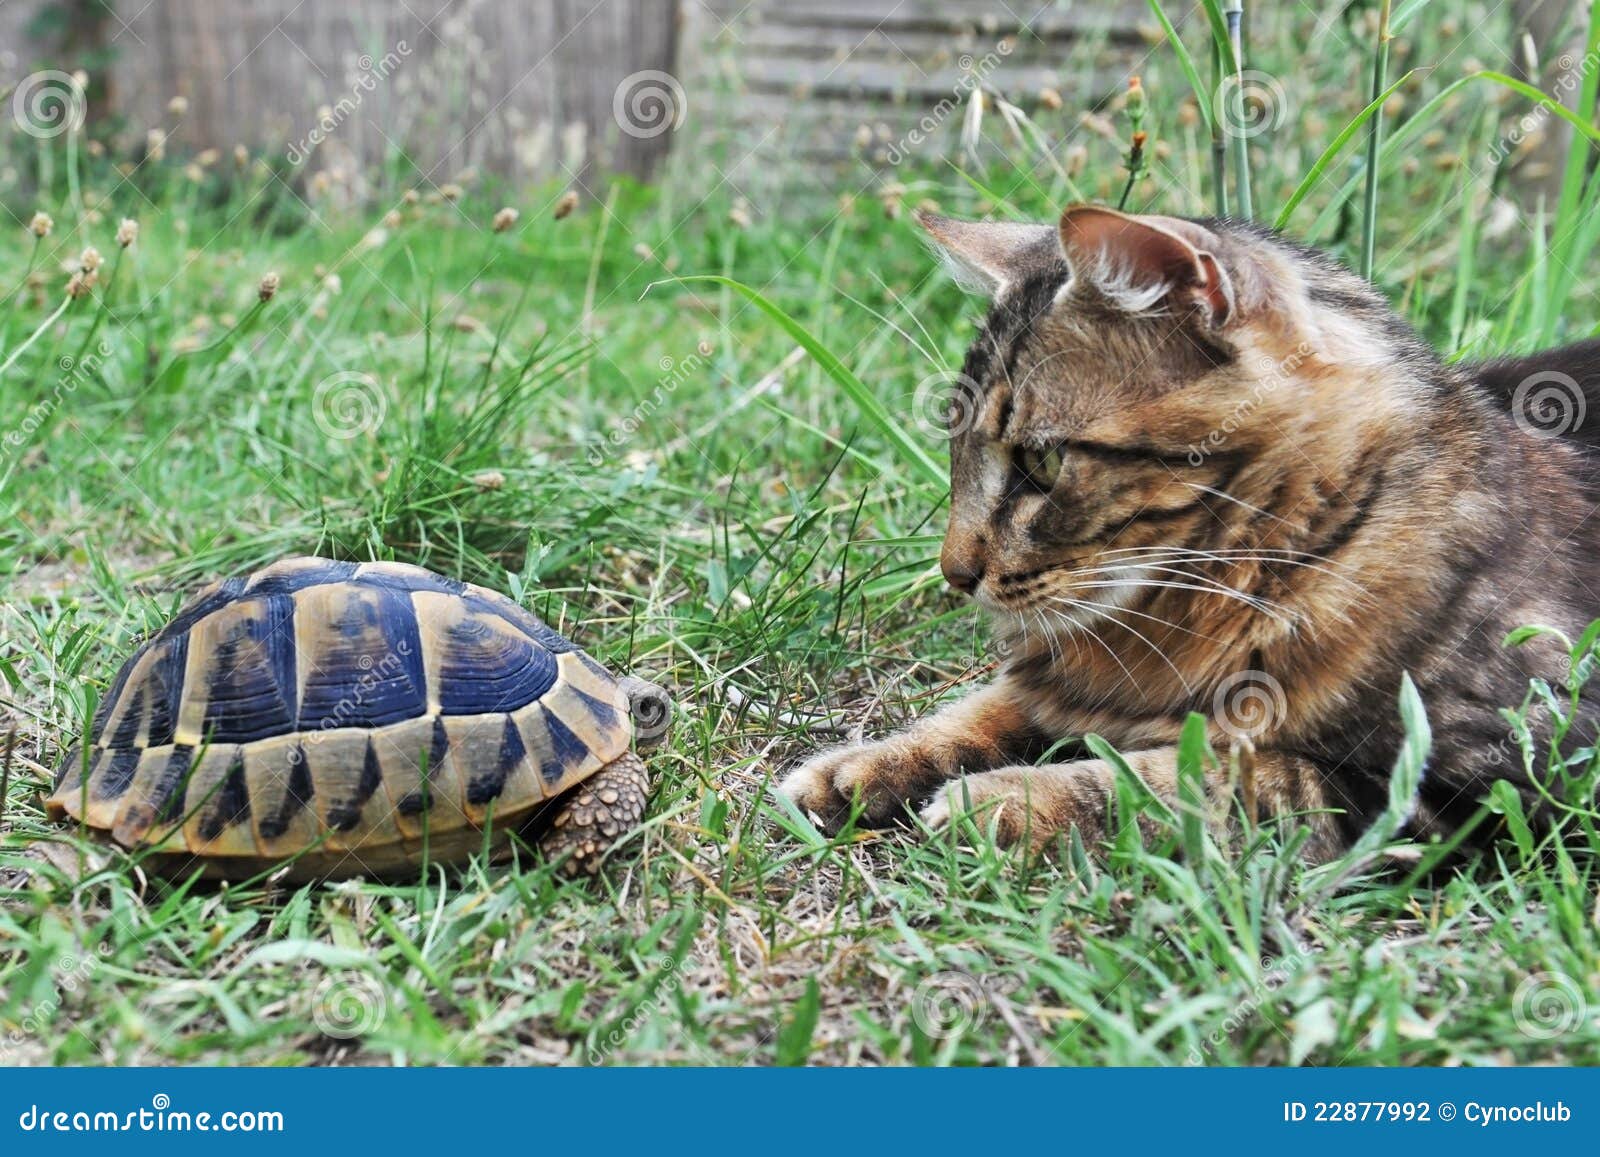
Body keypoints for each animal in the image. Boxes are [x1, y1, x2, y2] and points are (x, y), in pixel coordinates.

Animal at [777, 204, 1600, 864]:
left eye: (1042, 462)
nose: (954, 573)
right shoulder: (1059, 684)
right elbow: (978, 711)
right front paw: (861, 768)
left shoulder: (1472, 783)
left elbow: (1197, 777)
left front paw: (1006, 800)